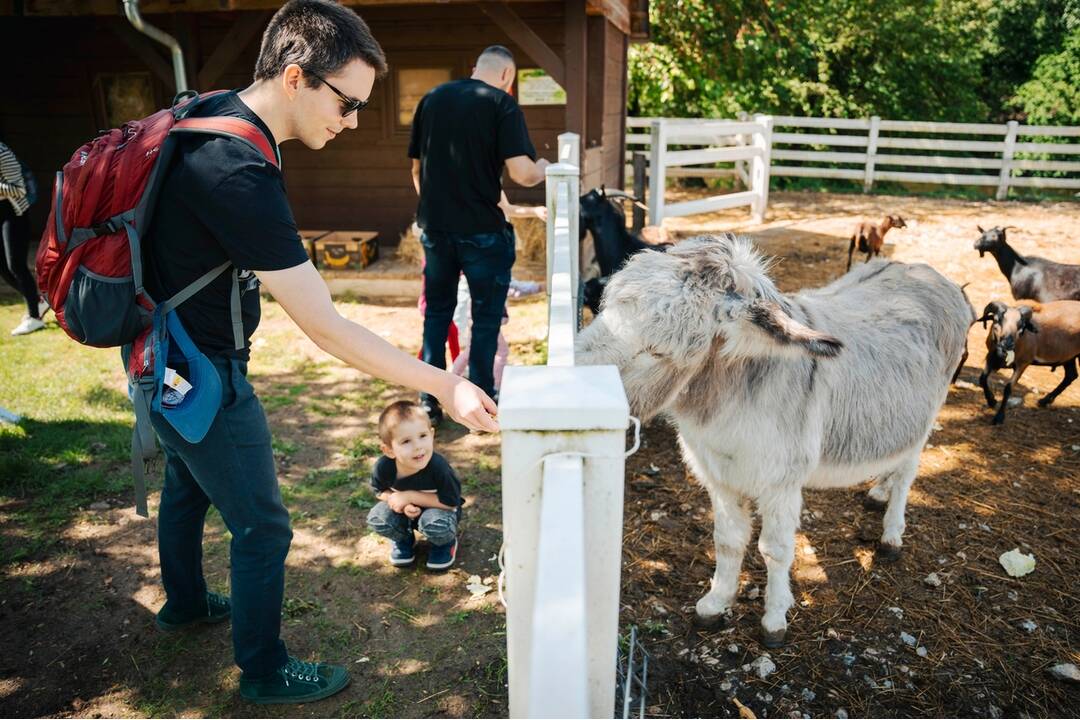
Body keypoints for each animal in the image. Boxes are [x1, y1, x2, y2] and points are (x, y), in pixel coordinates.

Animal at [578, 234, 976, 643]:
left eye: (659, 351)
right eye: (603, 310)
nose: (571, 379)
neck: (733, 389)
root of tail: (925, 270)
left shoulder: (780, 485)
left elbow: (775, 550)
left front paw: (773, 618)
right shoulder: (721, 477)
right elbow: (727, 541)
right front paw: (715, 603)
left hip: (927, 417)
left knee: (907, 473)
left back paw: (891, 533)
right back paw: (878, 490)